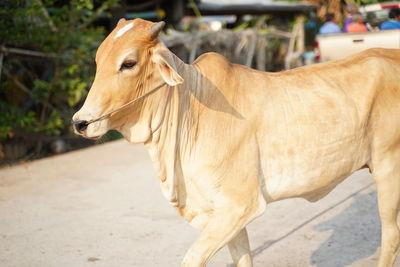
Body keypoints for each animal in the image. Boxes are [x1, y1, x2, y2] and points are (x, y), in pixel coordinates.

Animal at [72, 17, 400, 266]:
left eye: (128, 63)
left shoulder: (240, 204)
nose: (80, 122)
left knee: (390, 233)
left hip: (387, 168)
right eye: (98, 60)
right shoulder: (224, 211)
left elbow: (192, 259)